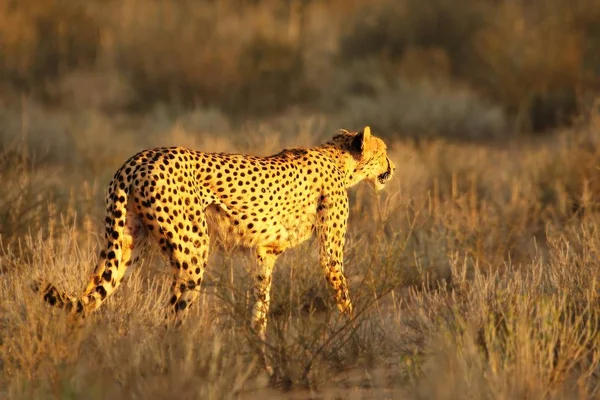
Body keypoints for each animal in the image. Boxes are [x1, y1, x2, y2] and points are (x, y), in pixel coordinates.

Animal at [36, 125, 394, 344]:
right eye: (384, 151)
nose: (392, 167)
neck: (340, 160)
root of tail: (135, 160)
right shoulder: (330, 254)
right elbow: (343, 295)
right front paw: (353, 333)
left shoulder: (265, 253)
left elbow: (261, 301)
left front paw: (259, 347)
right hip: (193, 250)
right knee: (171, 318)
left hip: (123, 244)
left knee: (87, 297)